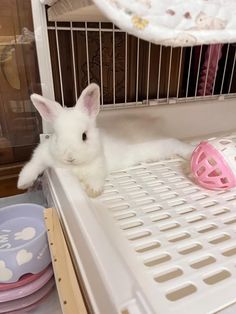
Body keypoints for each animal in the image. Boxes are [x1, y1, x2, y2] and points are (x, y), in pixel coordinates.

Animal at [18, 83, 192, 196]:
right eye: (56, 136)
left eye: (84, 136)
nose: (69, 158)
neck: (74, 167)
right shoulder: (42, 154)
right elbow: (32, 165)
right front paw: (22, 183)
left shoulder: (98, 165)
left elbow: (96, 177)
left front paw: (93, 191)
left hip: (162, 144)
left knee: (178, 145)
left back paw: (191, 154)